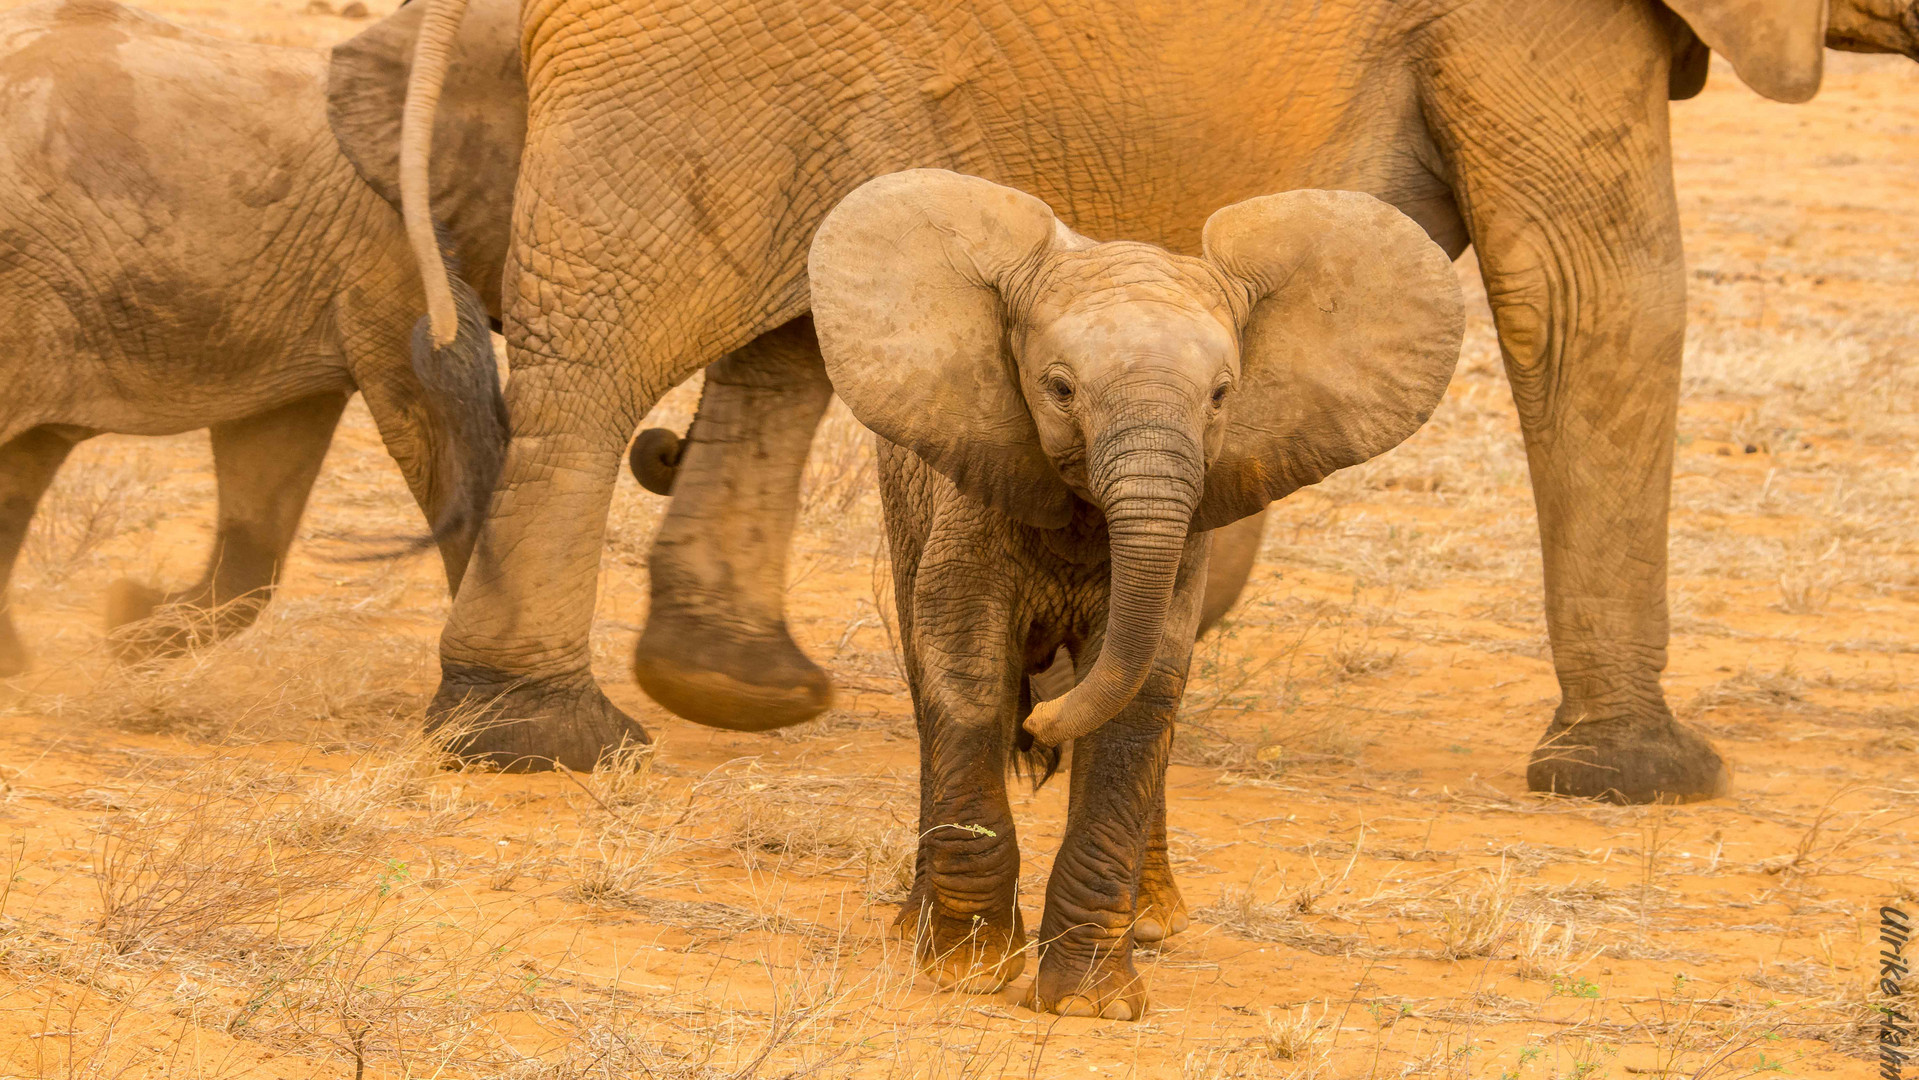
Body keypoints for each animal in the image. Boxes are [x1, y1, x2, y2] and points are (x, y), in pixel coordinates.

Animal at [393, 0, 1919, 798]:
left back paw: (735, 688)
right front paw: (1639, 779)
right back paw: (541, 738)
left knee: (787, 332)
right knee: (604, 358)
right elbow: (1595, 293)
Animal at [802, 170, 1458, 1020]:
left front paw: (1089, 1004)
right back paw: (916, 927)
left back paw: (1150, 925)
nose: (1043, 719)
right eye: (1058, 389)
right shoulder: (972, 490)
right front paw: (968, 970)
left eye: (1221, 395)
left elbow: (1142, 688)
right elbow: (966, 666)